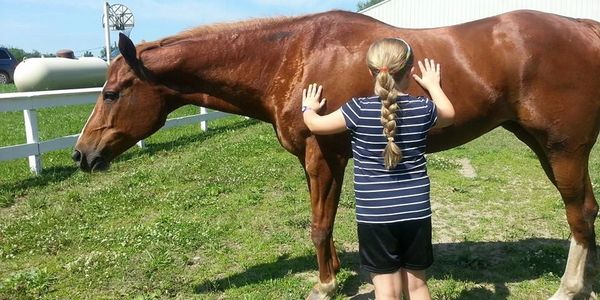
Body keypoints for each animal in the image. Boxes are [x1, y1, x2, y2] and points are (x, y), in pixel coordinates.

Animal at [71, 8, 600, 298]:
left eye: (112, 93)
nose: (81, 154)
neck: (292, 55)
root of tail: (584, 29)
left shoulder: (321, 156)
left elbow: (319, 224)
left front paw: (324, 285)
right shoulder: (328, 160)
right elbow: (322, 221)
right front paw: (336, 273)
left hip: (564, 148)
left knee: (578, 213)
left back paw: (568, 288)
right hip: (543, 145)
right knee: (587, 211)